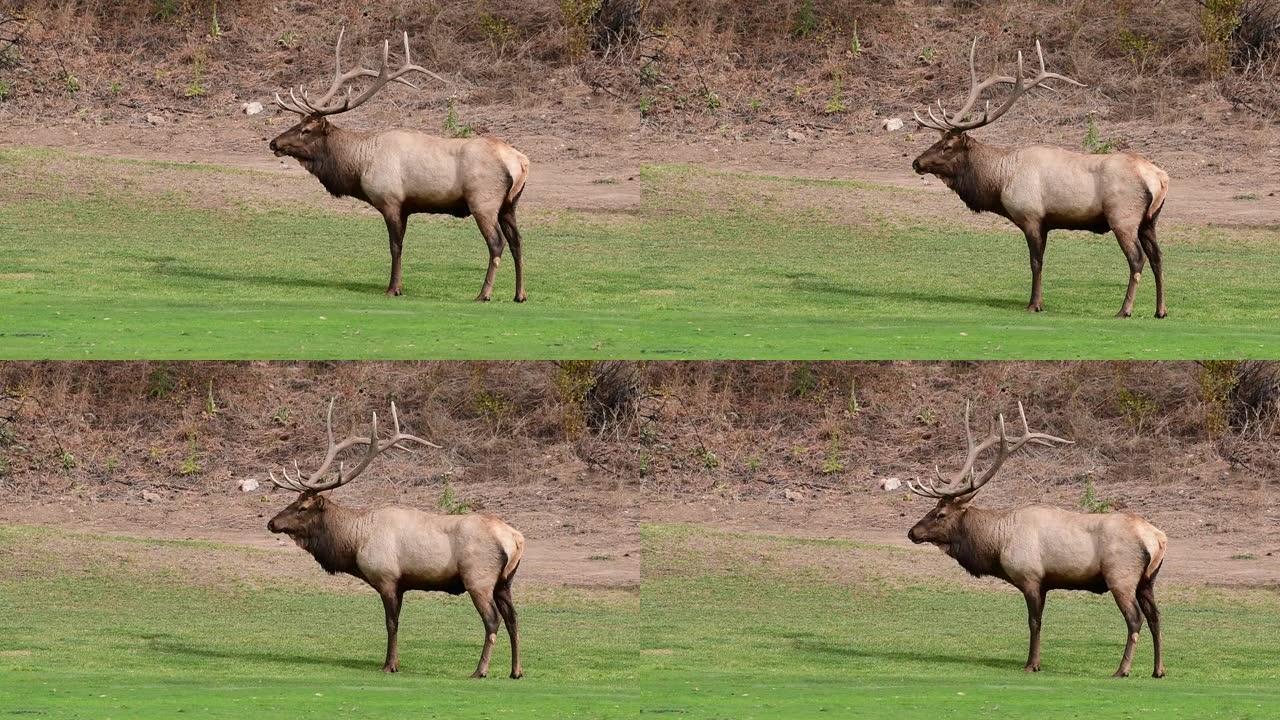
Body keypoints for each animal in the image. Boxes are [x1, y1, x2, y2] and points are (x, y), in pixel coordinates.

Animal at [267, 394, 527, 676]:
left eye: (302, 508)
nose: (271, 522)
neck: (354, 543)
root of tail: (516, 540)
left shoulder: (387, 578)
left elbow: (391, 623)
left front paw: (389, 665)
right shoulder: (401, 584)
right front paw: (395, 662)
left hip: (478, 578)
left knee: (493, 620)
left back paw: (480, 670)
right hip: (505, 582)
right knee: (513, 619)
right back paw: (516, 671)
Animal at [270, 30, 529, 299]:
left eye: (306, 130)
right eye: (297, 124)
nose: (273, 142)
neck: (359, 166)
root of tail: (520, 162)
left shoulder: (390, 200)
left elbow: (395, 246)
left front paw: (393, 288)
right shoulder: (405, 207)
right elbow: (402, 245)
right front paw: (399, 285)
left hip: (483, 201)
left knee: (496, 243)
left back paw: (484, 294)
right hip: (509, 205)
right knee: (518, 242)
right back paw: (520, 294)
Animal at [906, 399, 1167, 676]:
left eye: (940, 514)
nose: (912, 532)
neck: (997, 544)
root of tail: (1159, 539)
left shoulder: (1030, 576)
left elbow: (1034, 621)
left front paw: (1032, 664)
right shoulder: (1044, 583)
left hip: (1121, 577)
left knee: (1135, 619)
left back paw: (1122, 669)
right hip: (1147, 581)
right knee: (1156, 617)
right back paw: (1158, 670)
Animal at [911, 39, 1172, 316]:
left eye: (947, 146)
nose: (916, 162)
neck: (999, 181)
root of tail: (1160, 178)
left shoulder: (1031, 216)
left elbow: (1036, 262)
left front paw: (1034, 304)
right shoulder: (1046, 222)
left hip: (1123, 217)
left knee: (1137, 259)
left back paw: (1125, 309)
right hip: (1149, 221)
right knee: (1158, 258)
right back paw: (1160, 310)